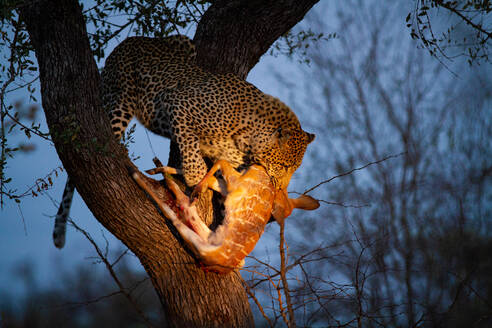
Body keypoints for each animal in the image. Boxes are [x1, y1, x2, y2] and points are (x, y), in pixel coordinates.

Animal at [52, 34, 316, 249]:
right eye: (283, 167)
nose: (279, 188)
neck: (248, 139)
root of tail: (127, 41)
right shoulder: (179, 104)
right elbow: (192, 153)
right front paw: (193, 179)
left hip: (184, 43)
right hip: (120, 102)